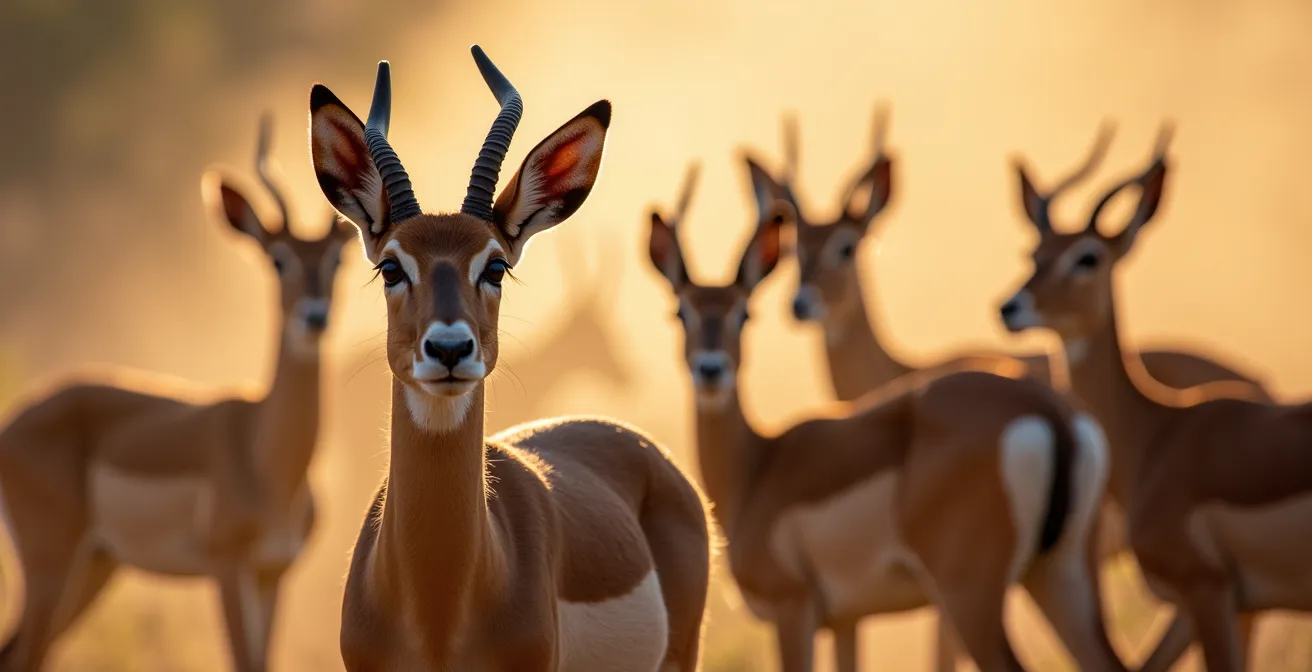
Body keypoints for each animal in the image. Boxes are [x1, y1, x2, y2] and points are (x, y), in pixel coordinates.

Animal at [0, 114, 354, 672]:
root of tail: (13, 426)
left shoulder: (273, 574)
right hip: (50, 565)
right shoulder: (227, 567)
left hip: (95, 565)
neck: (267, 459)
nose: (314, 318)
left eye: (338, 260)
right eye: (278, 259)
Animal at [645, 164, 1128, 672]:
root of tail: (1047, 409)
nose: (711, 370)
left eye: (744, 314)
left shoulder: (793, 610)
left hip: (970, 593)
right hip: (1060, 576)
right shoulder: (847, 621)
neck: (757, 470)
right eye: (681, 312)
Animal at [999, 126, 1308, 672]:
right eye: (1034, 254)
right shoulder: (1214, 607)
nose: (1012, 307)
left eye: (1088, 257)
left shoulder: (1207, 591)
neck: (1157, 433)